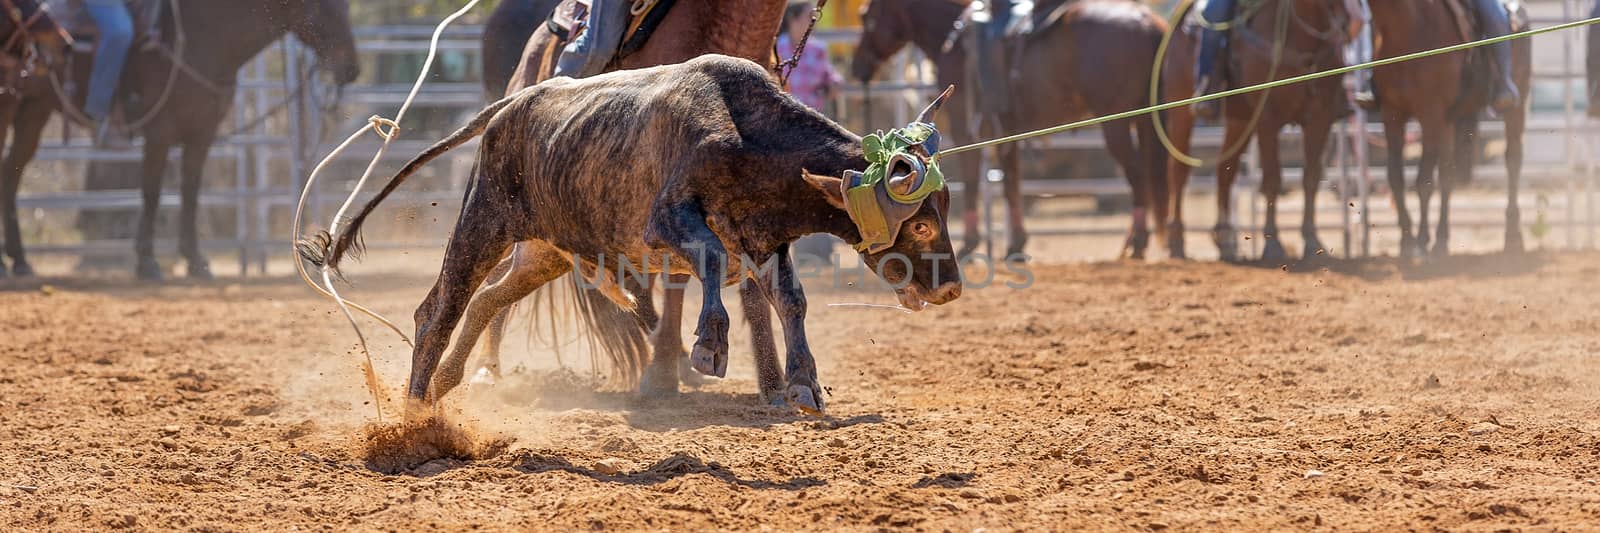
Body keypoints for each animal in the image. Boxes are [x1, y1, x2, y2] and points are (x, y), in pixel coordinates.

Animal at [0, 0, 356, 280]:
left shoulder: (201, 135)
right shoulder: (160, 133)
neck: (203, 36)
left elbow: (190, 193)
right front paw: (147, 262)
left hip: (33, 112)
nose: (352, 68)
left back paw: (19, 261)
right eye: (325, 8)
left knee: (12, 174)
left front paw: (195, 261)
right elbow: (152, 193)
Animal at [312, 54, 960, 409]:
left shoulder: (762, 239)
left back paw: (444, 386)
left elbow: (791, 299)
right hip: (483, 220)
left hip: (544, 252)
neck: (746, 133)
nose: (952, 287)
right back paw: (415, 416)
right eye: (924, 223)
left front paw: (803, 384)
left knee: (488, 300)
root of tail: (509, 106)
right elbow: (711, 262)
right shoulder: (670, 219)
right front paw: (708, 346)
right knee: (437, 309)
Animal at [851, 0, 1177, 257]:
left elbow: (973, 178)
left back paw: (1136, 243)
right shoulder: (1006, 130)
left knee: (1137, 177)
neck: (952, 36)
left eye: (866, 17)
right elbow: (1012, 180)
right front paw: (1016, 244)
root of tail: (1147, 21)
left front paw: (971, 243)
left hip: (1117, 125)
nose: (857, 67)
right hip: (1144, 120)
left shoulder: (963, 124)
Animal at [1158, 0, 1356, 259]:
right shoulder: (1267, 117)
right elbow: (1272, 178)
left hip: (1240, 120)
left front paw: (1312, 241)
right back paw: (1177, 241)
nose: (1348, 21)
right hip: (1180, 111)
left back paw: (1225, 240)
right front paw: (1273, 244)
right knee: (1178, 171)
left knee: (1225, 170)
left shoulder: (1320, 117)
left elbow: (1311, 177)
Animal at [1369, 0, 1529, 257]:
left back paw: (1512, 238)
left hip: (1517, 104)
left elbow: (1433, 178)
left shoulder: (1435, 114)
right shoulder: (1392, 114)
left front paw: (1433, 243)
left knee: (1512, 160)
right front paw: (1408, 242)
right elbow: (1396, 176)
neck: (1408, 27)